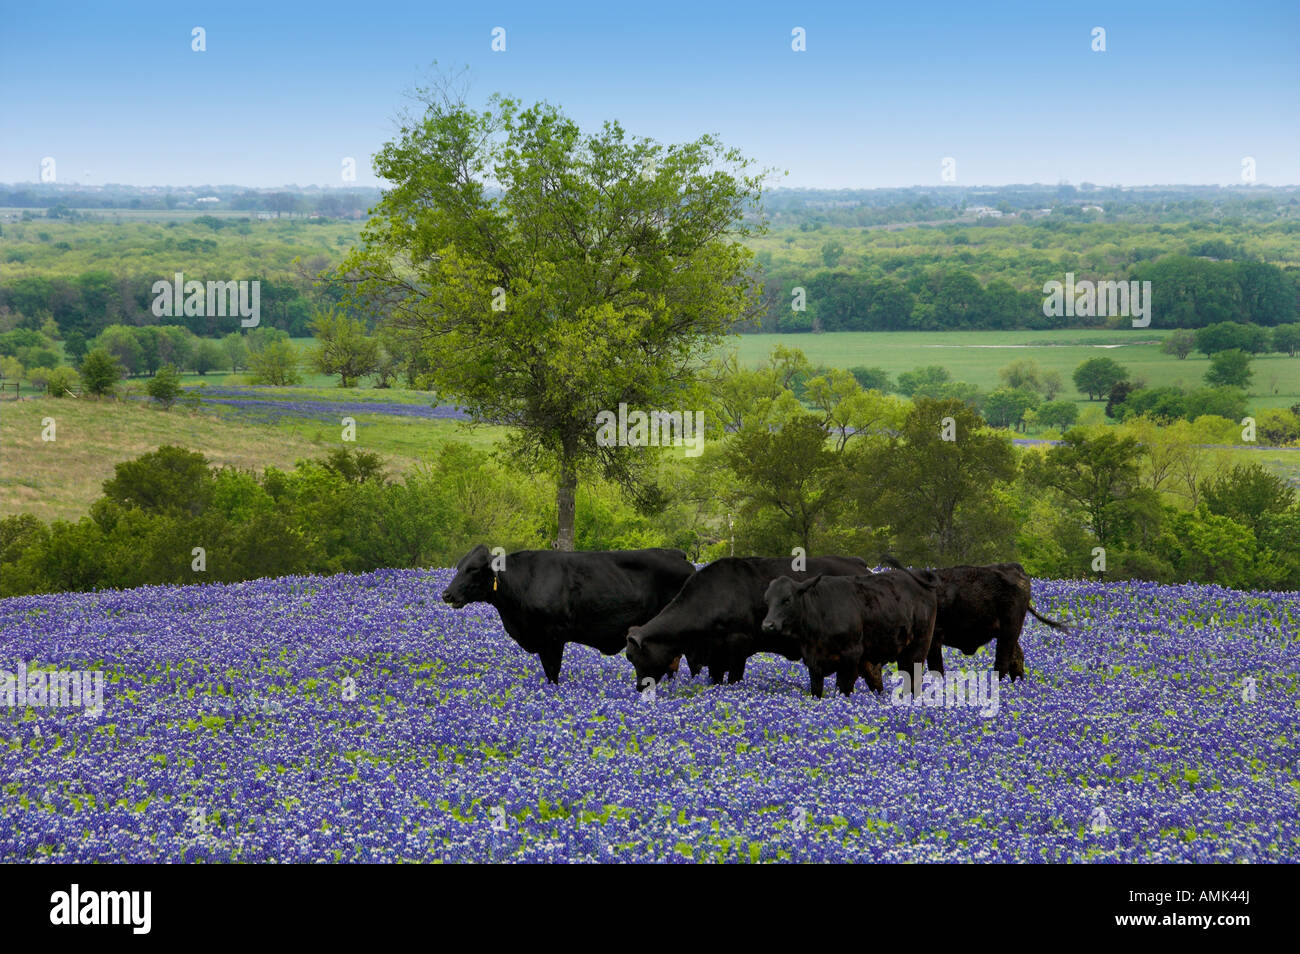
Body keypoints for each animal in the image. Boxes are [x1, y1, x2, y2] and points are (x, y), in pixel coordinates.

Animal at [441, 545, 696, 686]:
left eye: (473, 569)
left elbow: (553, 672)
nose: (447, 594)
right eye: (459, 566)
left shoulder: (553, 638)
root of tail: (678, 555)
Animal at [624, 556, 868, 691]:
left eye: (635, 657)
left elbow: (734, 679)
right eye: (629, 658)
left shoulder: (738, 645)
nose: (639, 687)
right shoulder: (715, 655)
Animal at [759, 571, 935, 696]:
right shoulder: (813, 665)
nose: (768, 625)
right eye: (767, 600)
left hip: (917, 650)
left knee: (913, 682)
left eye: (787, 599)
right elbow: (816, 692)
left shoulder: (850, 659)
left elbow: (843, 691)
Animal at [873, 556, 1066, 686]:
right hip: (1009, 633)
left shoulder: (933, 639)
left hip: (1010, 629)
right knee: (1017, 660)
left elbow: (935, 669)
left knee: (1003, 662)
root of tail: (1015, 568)